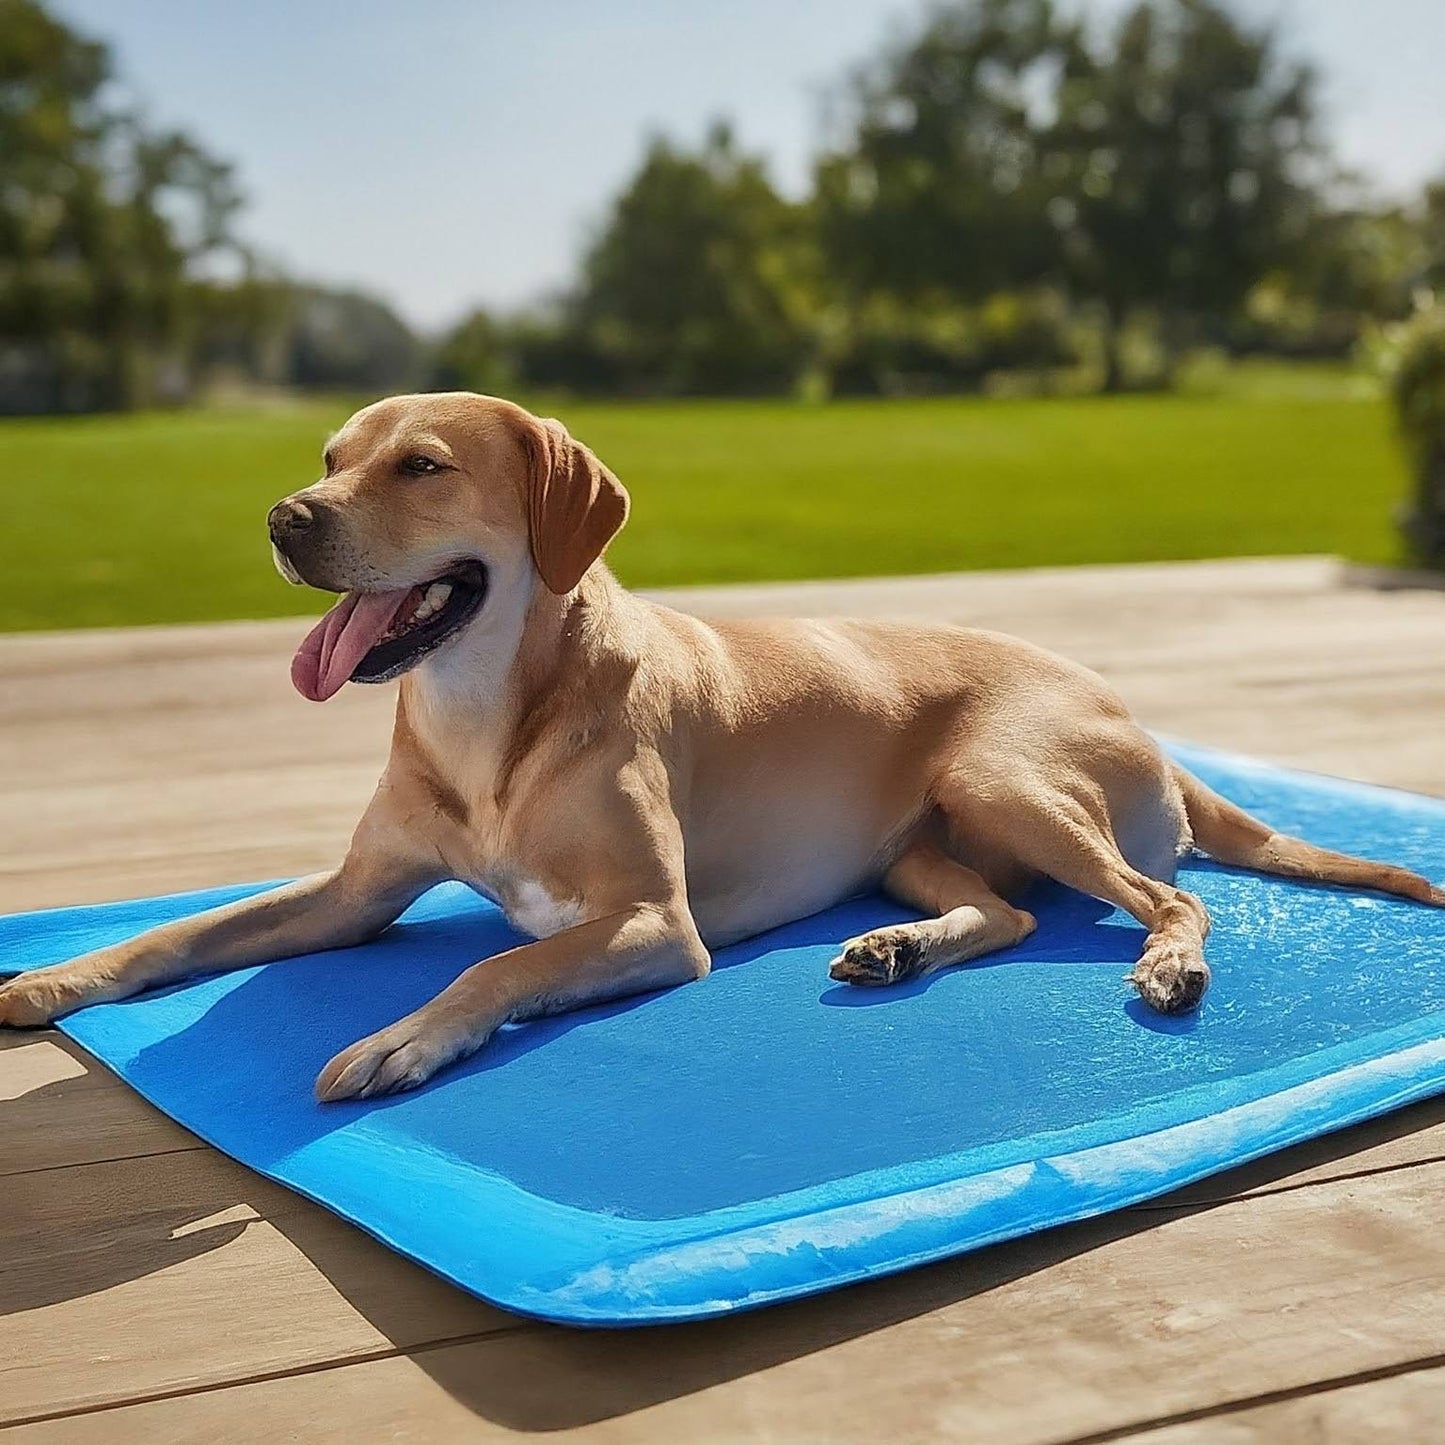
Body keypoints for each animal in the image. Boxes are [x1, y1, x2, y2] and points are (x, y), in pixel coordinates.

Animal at [5, 390, 1439, 1098]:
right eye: (329, 455)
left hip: (1007, 777)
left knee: (1171, 897)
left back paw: (1167, 966)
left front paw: (404, 1038)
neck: (487, 714)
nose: (283, 518)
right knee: (1007, 915)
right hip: (922, 844)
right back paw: (897, 947)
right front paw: (57, 975)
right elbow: (183, 931)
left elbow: (491, 968)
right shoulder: (356, 893)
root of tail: (1129, 705)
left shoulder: (652, 923)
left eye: (419, 465)